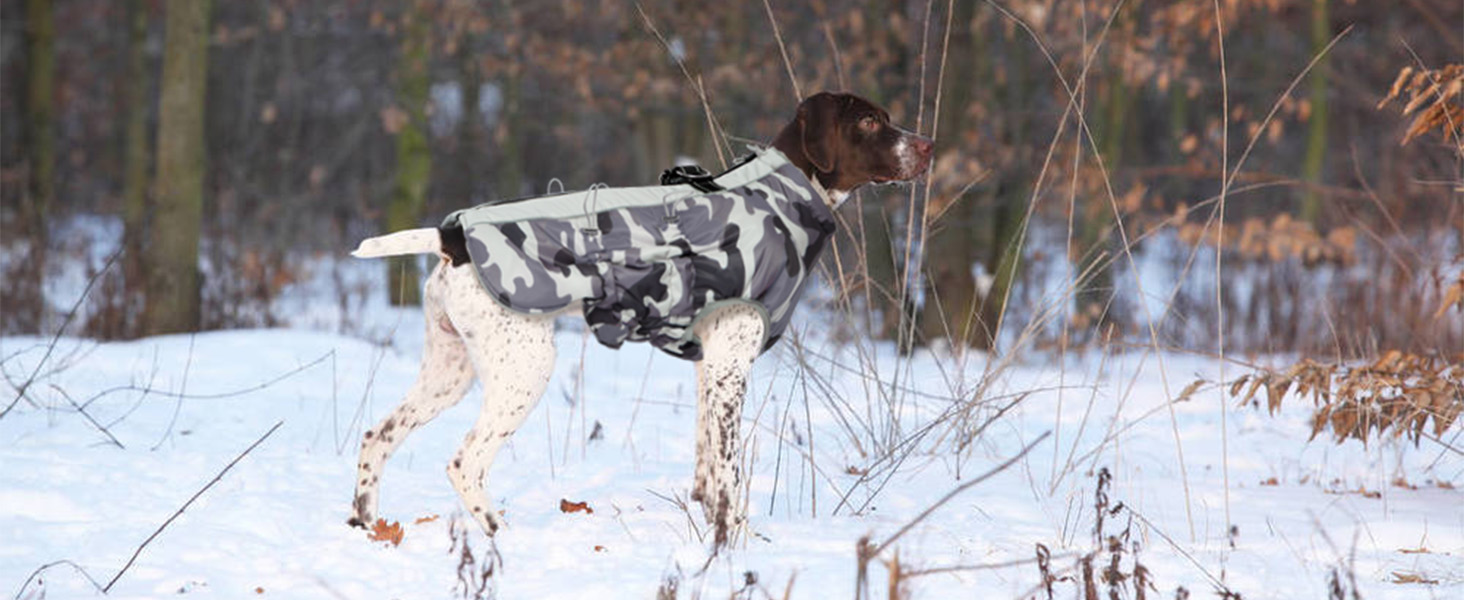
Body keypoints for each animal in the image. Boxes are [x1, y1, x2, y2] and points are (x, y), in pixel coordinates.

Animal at [348, 91, 931, 547]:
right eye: (869, 122)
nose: (926, 146)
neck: (779, 196)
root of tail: (452, 238)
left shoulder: (710, 368)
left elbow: (707, 473)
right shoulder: (730, 369)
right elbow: (730, 474)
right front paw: (738, 545)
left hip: (450, 371)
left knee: (377, 435)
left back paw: (367, 525)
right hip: (525, 370)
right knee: (464, 462)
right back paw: (497, 536)